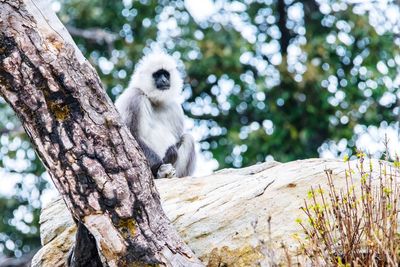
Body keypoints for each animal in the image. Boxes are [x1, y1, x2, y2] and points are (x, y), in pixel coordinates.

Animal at [115, 51, 196, 179]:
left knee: (188, 138)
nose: (163, 80)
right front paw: (160, 164)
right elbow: (131, 134)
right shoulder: (134, 97)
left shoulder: (175, 108)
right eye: (157, 75)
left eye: (166, 75)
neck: (156, 101)